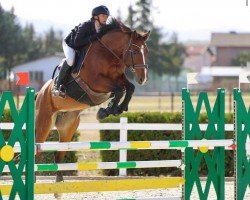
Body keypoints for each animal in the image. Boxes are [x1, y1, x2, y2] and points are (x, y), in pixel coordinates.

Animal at [35, 19, 150, 183]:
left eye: (146, 52)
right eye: (134, 52)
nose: (143, 79)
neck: (108, 54)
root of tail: (40, 92)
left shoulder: (118, 79)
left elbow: (129, 88)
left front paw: (116, 109)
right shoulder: (96, 82)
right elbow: (119, 90)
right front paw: (106, 110)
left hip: (68, 127)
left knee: (59, 152)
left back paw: (59, 180)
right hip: (44, 122)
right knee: (37, 149)